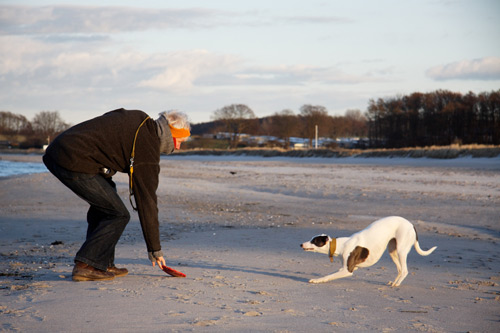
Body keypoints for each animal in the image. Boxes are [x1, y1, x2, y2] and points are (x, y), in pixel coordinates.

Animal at [300, 215, 438, 286]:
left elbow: (330, 275)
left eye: (314, 241)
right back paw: (393, 282)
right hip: (392, 250)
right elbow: (331, 273)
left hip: (401, 250)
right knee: (399, 269)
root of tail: (411, 225)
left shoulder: (348, 270)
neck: (341, 244)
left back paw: (396, 284)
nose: (301, 244)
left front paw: (317, 280)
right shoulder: (345, 268)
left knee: (404, 270)